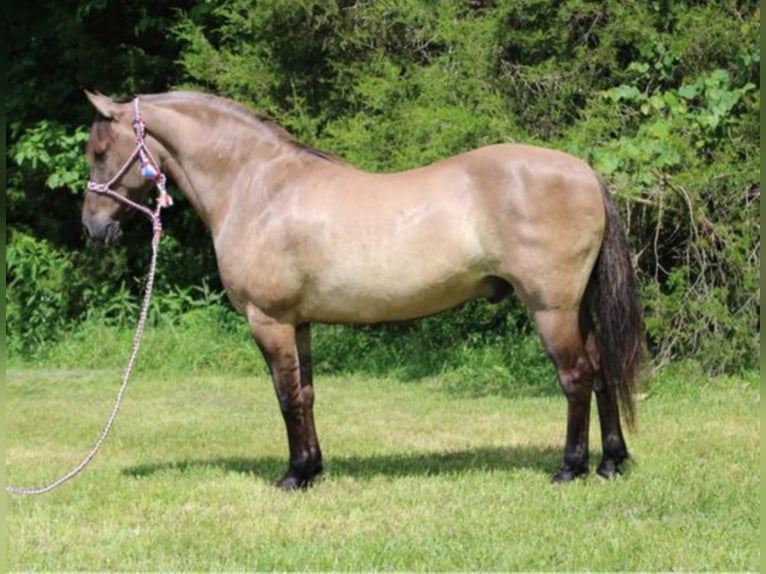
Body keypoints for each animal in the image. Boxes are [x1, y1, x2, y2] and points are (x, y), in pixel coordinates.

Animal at [82, 90, 648, 490]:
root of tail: (585, 173)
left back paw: (571, 468)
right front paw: (313, 469)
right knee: (601, 373)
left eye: (99, 151)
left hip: (551, 308)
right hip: (579, 309)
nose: (92, 227)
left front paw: (292, 476)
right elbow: (306, 394)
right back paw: (612, 462)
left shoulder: (269, 321)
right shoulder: (299, 323)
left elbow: (285, 396)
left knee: (576, 377)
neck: (258, 187)